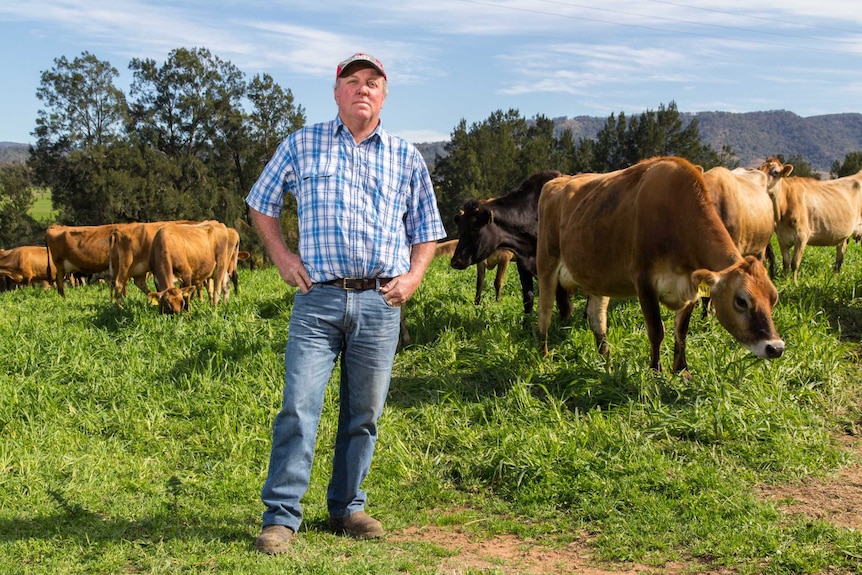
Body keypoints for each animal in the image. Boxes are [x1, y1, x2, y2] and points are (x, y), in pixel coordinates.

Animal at [448, 169, 576, 318]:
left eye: (474, 228)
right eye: (460, 228)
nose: (455, 261)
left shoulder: (506, 258)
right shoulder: (521, 262)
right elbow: (527, 297)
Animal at [540, 156, 788, 374]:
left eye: (773, 298)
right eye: (741, 301)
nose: (775, 347)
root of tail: (557, 181)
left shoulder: (691, 284)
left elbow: (681, 331)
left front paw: (682, 370)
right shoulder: (644, 281)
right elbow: (656, 330)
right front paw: (655, 372)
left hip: (597, 277)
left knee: (597, 318)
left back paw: (607, 362)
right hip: (547, 263)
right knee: (545, 312)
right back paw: (544, 355)